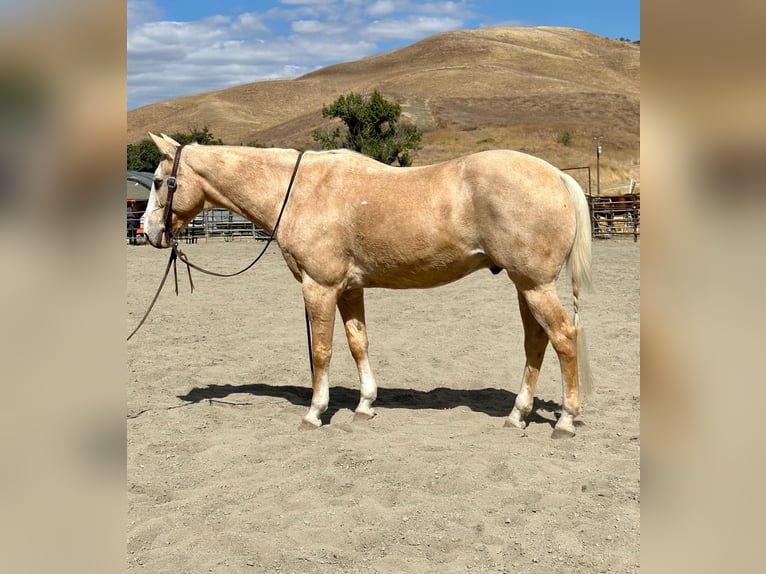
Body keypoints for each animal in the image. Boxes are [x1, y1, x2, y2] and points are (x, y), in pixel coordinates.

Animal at [146, 134, 600, 440]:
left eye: (158, 181)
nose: (146, 231)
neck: (300, 190)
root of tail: (558, 176)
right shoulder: (350, 289)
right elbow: (357, 342)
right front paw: (365, 406)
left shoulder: (320, 288)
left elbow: (322, 351)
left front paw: (315, 412)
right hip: (525, 287)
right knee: (535, 343)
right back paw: (517, 414)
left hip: (536, 286)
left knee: (563, 337)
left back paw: (564, 421)